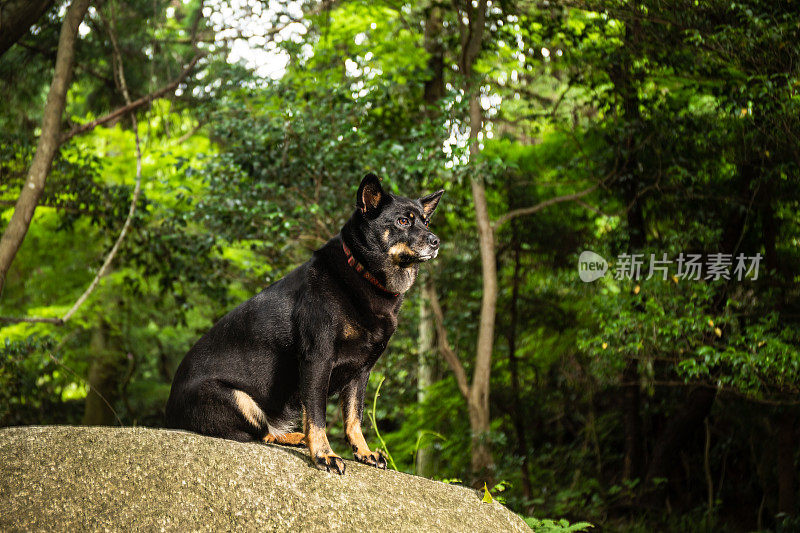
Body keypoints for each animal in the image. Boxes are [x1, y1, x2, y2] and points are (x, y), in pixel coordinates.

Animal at [164, 175, 444, 474]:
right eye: (403, 221)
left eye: (426, 222)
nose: (436, 241)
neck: (363, 273)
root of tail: (169, 415)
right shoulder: (317, 359)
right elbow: (317, 415)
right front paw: (323, 454)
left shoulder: (361, 372)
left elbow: (354, 418)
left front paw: (364, 452)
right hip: (239, 400)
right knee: (258, 433)